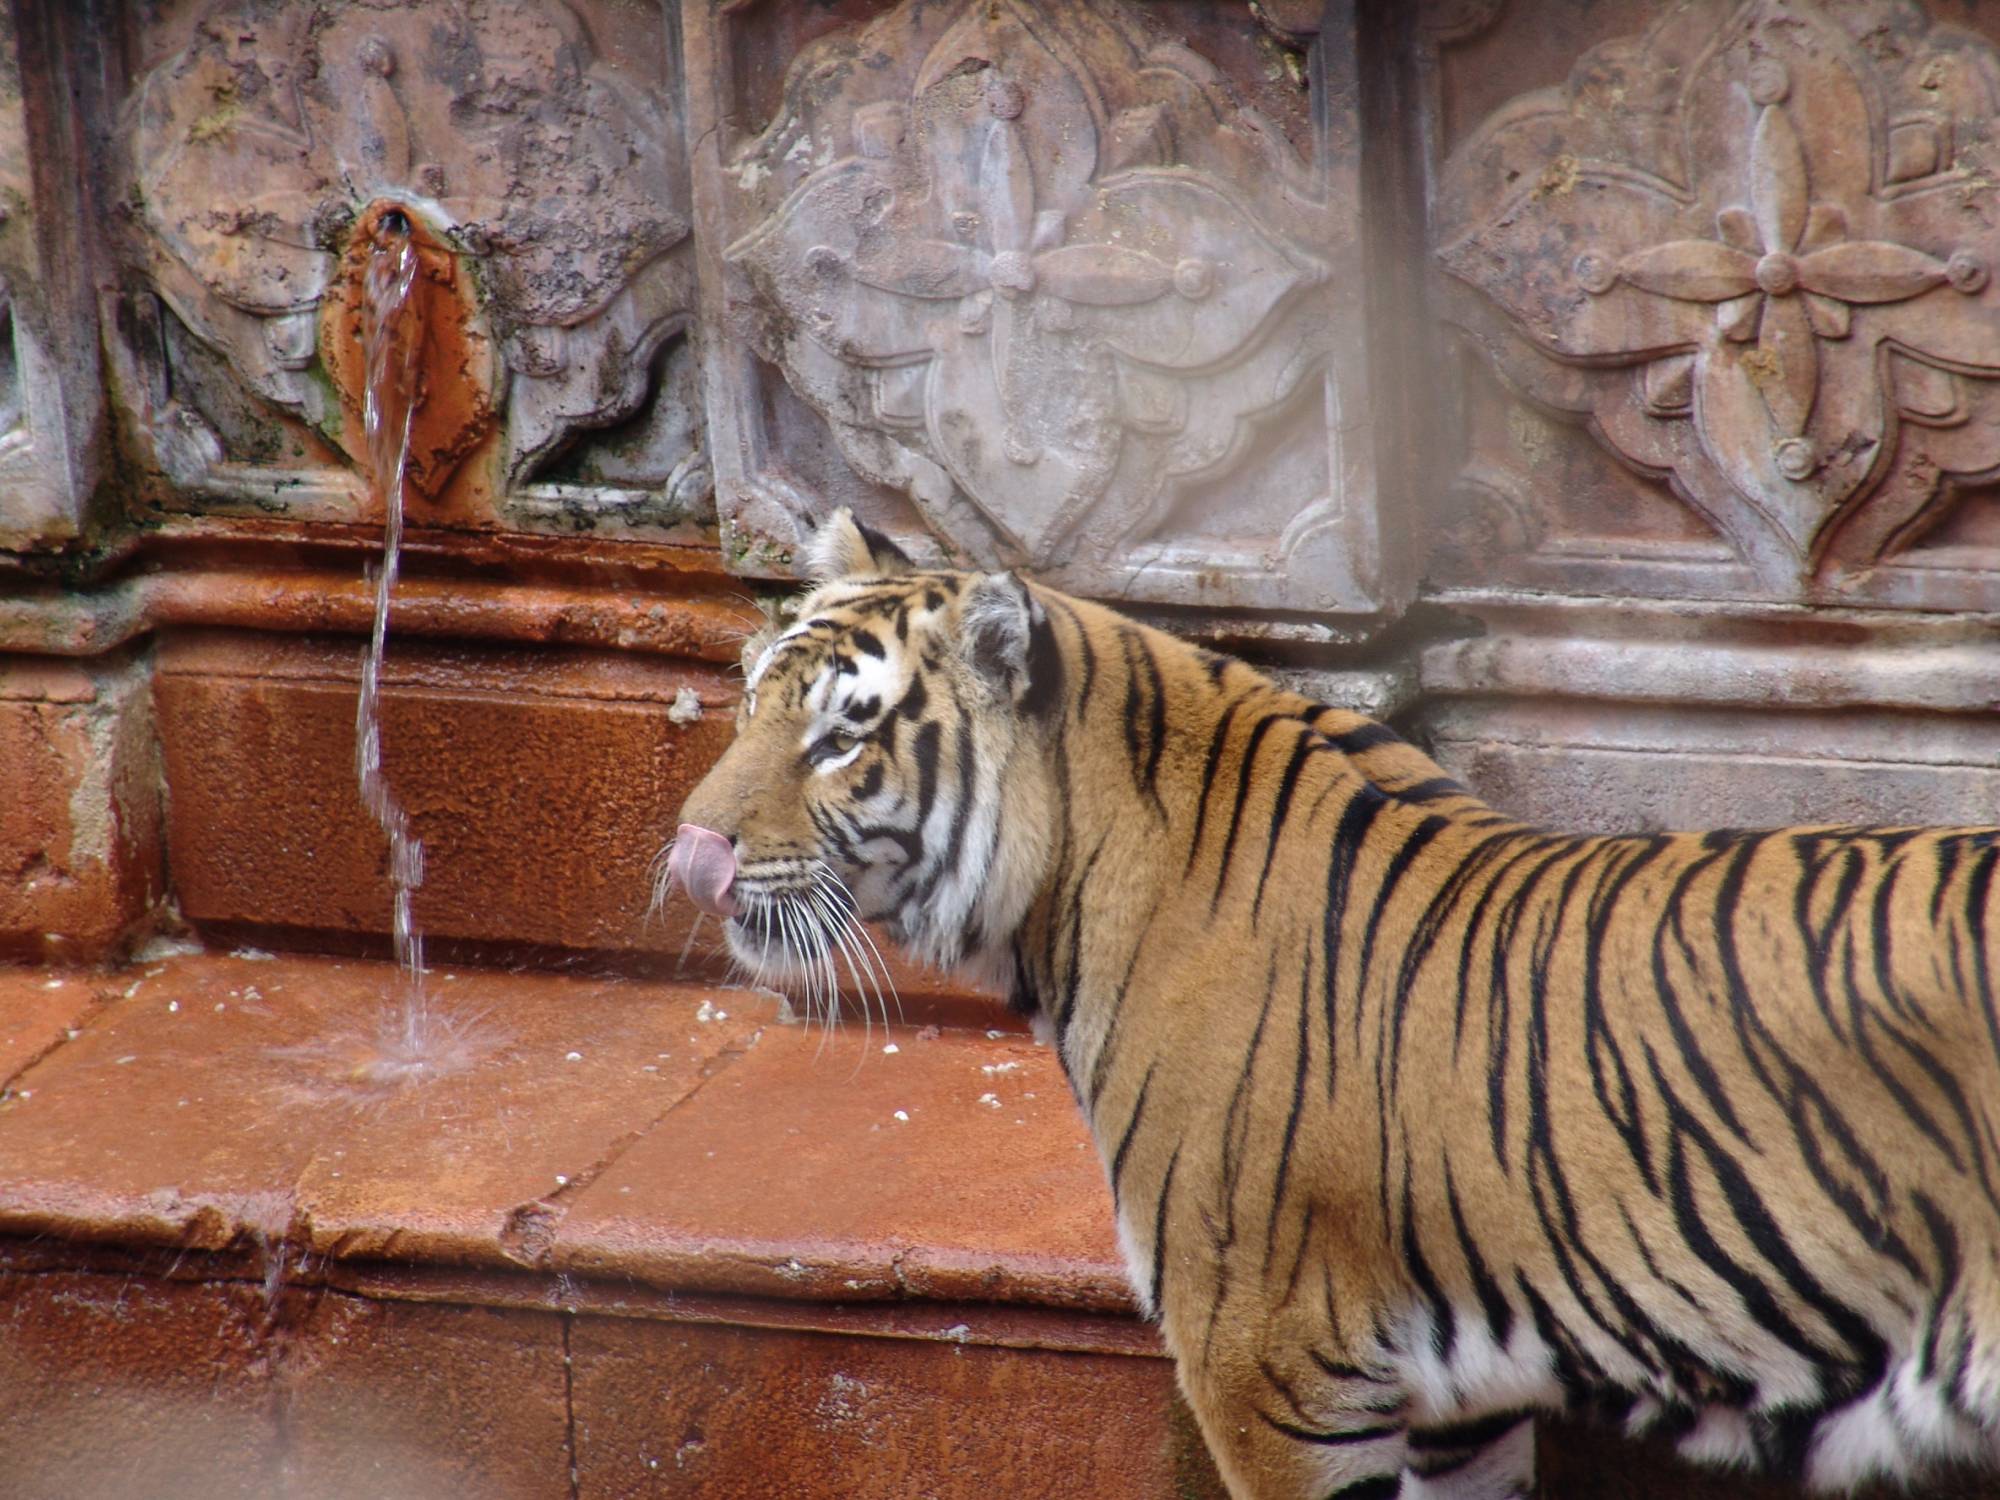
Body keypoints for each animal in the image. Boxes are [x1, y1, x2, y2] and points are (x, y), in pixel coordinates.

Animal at [664, 512, 2000, 1496]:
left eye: (842, 738)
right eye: (747, 698)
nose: (691, 856)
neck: (1060, 898)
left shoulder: (1269, 1368)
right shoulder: (1458, 1406)